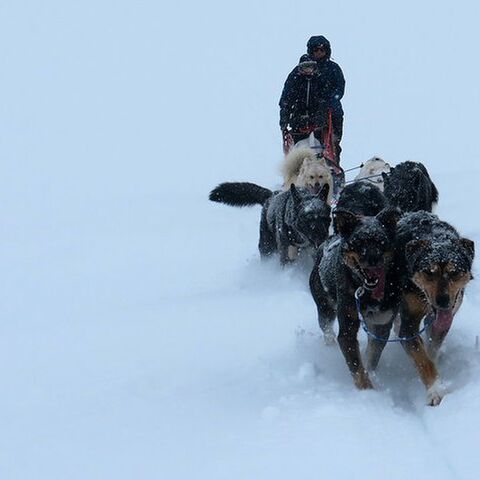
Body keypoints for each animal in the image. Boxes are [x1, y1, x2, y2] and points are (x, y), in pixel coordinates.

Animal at [310, 182, 400, 388]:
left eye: (381, 241)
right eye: (359, 242)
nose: (373, 260)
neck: (366, 292)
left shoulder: (382, 323)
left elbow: (372, 356)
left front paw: (372, 373)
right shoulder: (348, 325)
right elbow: (357, 367)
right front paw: (368, 390)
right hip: (325, 307)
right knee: (327, 328)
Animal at [396, 212, 474, 404]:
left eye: (454, 272)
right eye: (429, 272)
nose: (443, 301)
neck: (437, 238)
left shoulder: (444, 320)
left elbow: (433, 348)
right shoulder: (409, 325)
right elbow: (423, 360)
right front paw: (435, 390)